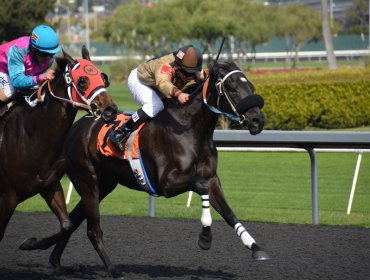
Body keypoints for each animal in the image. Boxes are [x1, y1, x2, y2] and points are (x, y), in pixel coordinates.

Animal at [0, 47, 116, 243]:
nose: (110, 110)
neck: (31, 138)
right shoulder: (7, 196)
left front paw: (30, 243)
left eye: (103, 77)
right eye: (82, 80)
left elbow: (67, 225)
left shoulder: (49, 184)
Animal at [21, 60, 268, 276]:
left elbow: (228, 212)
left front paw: (255, 247)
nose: (258, 121)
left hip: (104, 184)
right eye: (232, 87)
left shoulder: (212, 177)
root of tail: (74, 128)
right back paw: (111, 269)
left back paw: (45, 253)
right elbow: (201, 186)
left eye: (251, 86)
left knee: (72, 220)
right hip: (87, 180)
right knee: (90, 228)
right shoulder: (167, 182)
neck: (190, 130)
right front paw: (205, 236)